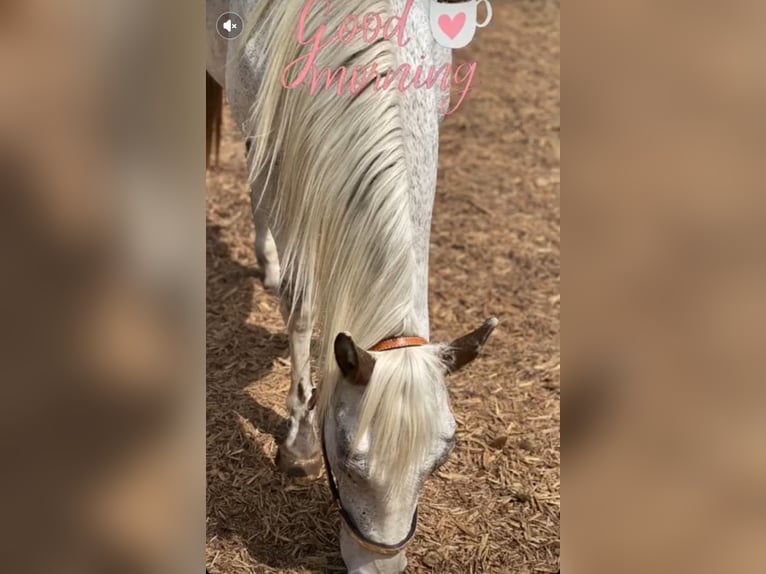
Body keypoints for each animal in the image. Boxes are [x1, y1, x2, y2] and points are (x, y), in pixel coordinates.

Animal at [206, 1, 497, 571]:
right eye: (347, 459)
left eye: (440, 459)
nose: (377, 566)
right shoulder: (269, 137)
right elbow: (299, 302)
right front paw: (298, 443)